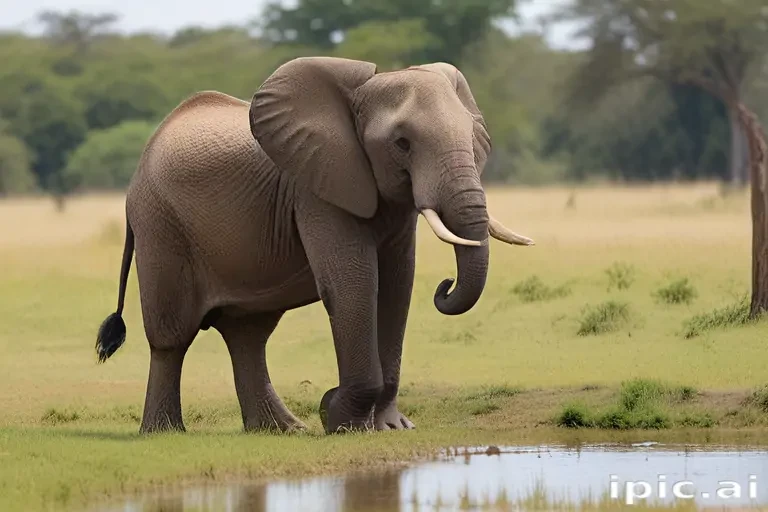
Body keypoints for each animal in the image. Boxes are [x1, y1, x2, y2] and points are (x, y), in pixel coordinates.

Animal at [94, 56, 534, 435]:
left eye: (474, 135)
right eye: (402, 143)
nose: (444, 286)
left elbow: (397, 287)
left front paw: (389, 427)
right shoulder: (316, 189)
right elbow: (355, 285)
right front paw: (340, 420)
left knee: (247, 334)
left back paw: (283, 430)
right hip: (160, 226)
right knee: (172, 337)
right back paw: (164, 433)